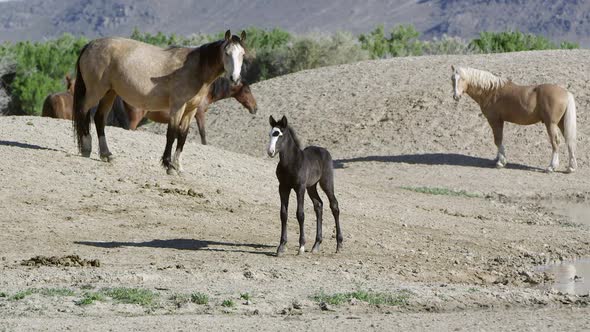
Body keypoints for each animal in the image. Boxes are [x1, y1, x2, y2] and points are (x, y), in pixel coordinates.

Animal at [268, 115, 342, 255]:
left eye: (280, 135)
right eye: (270, 134)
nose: (270, 152)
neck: (290, 163)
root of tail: (324, 151)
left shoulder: (300, 188)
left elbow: (300, 214)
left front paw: (301, 246)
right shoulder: (283, 187)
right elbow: (283, 214)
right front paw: (281, 246)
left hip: (326, 182)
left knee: (334, 205)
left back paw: (339, 245)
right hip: (311, 187)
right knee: (318, 205)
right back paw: (316, 245)